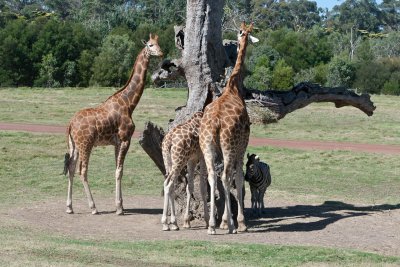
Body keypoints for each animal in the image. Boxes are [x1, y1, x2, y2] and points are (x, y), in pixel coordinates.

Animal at [62, 34, 162, 216]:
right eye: (150, 45)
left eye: (158, 44)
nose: (161, 53)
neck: (129, 104)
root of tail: (70, 124)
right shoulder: (125, 139)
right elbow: (119, 171)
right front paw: (119, 208)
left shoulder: (116, 142)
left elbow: (117, 169)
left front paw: (120, 205)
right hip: (86, 144)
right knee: (82, 171)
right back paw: (93, 207)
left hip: (74, 145)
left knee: (71, 168)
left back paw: (69, 207)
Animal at [199, 22, 253, 236]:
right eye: (243, 31)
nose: (242, 38)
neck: (233, 86)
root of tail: (215, 122)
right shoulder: (242, 145)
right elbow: (237, 178)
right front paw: (240, 222)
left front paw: (222, 221)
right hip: (229, 145)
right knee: (224, 176)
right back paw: (231, 226)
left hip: (207, 145)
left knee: (212, 175)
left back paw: (212, 226)